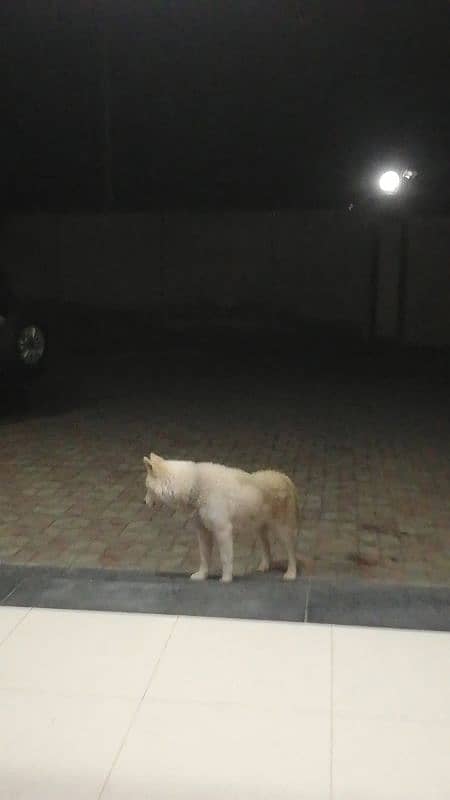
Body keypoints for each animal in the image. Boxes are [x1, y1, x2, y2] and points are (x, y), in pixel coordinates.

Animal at [143, 456, 298, 580]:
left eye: (147, 487)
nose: (143, 502)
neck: (195, 484)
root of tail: (285, 477)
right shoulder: (203, 531)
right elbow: (204, 557)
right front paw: (202, 576)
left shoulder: (223, 530)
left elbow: (225, 558)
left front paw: (226, 580)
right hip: (258, 528)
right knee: (266, 547)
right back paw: (264, 567)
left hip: (282, 530)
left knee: (291, 551)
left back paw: (291, 574)